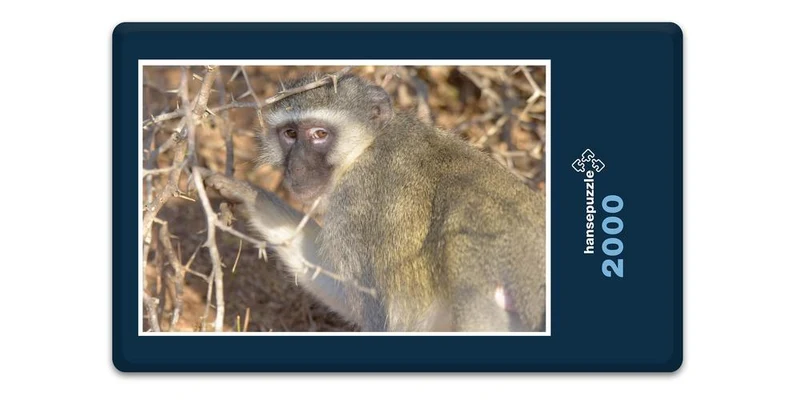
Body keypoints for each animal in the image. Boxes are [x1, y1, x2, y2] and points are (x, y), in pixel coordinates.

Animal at [200, 72, 546, 332]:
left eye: (320, 134)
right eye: (290, 134)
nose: (296, 166)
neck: (365, 148)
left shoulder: (357, 205)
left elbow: (376, 312)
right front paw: (247, 193)